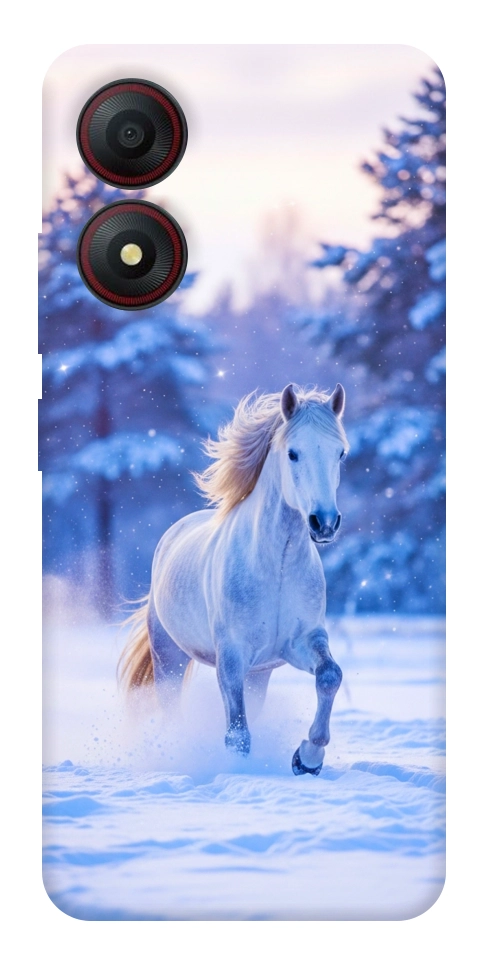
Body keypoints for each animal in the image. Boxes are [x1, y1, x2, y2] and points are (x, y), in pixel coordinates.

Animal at [119, 382, 349, 775]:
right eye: (293, 453)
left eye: (340, 453)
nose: (324, 523)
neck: (276, 567)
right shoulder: (231, 656)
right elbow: (237, 734)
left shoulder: (301, 642)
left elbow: (330, 676)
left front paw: (307, 758)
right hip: (169, 658)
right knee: (171, 709)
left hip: (259, 674)